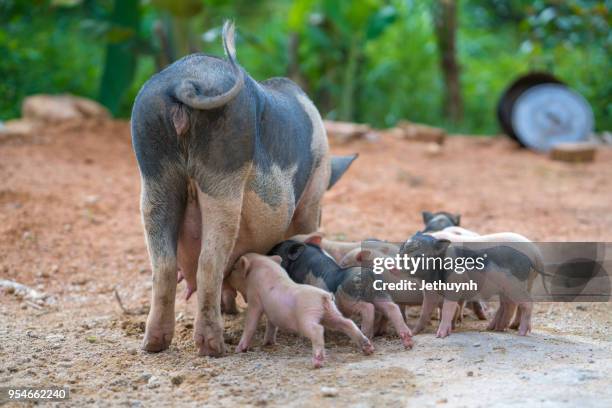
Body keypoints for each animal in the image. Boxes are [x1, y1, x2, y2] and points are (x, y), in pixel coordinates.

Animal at [131, 20, 356, 356]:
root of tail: (186, 81)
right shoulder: (312, 198)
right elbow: (306, 231)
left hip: (154, 166)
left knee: (164, 263)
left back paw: (154, 344)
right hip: (224, 169)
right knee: (209, 261)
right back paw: (213, 347)